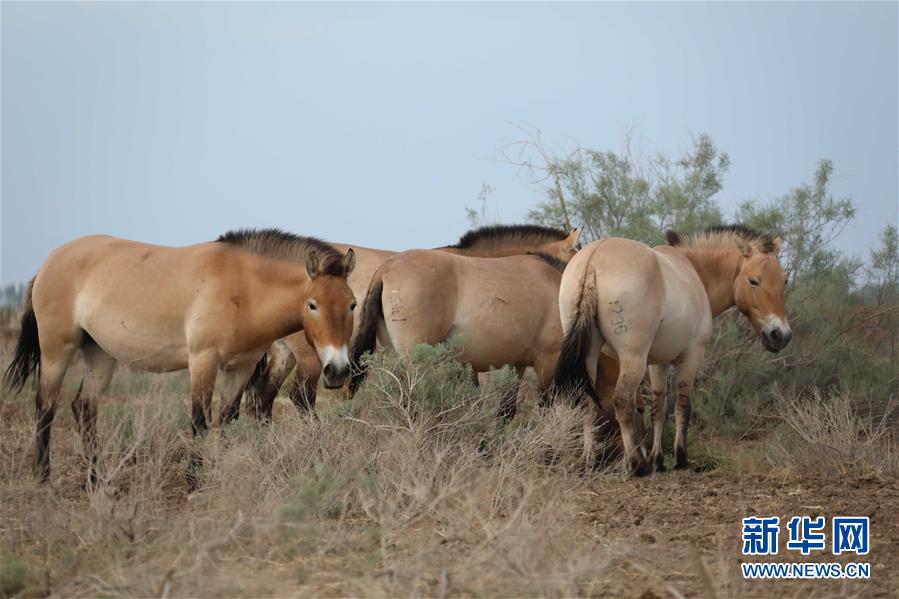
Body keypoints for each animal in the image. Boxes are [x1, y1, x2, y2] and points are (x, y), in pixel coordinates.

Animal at [4, 227, 356, 486]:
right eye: (313, 305)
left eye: (352, 304)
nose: (337, 370)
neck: (244, 288)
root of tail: (48, 262)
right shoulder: (203, 360)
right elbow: (200, 422)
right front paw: (194, 482)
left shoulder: (240, 367)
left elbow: (226, 419)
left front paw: (218, 472)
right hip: (57, 349)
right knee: (46, 406)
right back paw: (43, 479)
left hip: (99, 354)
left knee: (84, 408)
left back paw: (98, 481)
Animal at [552, 225, 792, 478]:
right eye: (754, 281)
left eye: (784, 280)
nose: (780, 335)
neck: (694, 272)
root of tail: (594, 257)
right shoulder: (691, 356)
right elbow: (682, 406)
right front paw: (680, 459)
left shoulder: (659, 362)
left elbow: (659, 408)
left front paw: (658, 459)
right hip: (632, 358)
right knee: (622, 402)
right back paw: (637, 464)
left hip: (591, 355)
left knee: (588, 400)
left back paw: (588, 462)